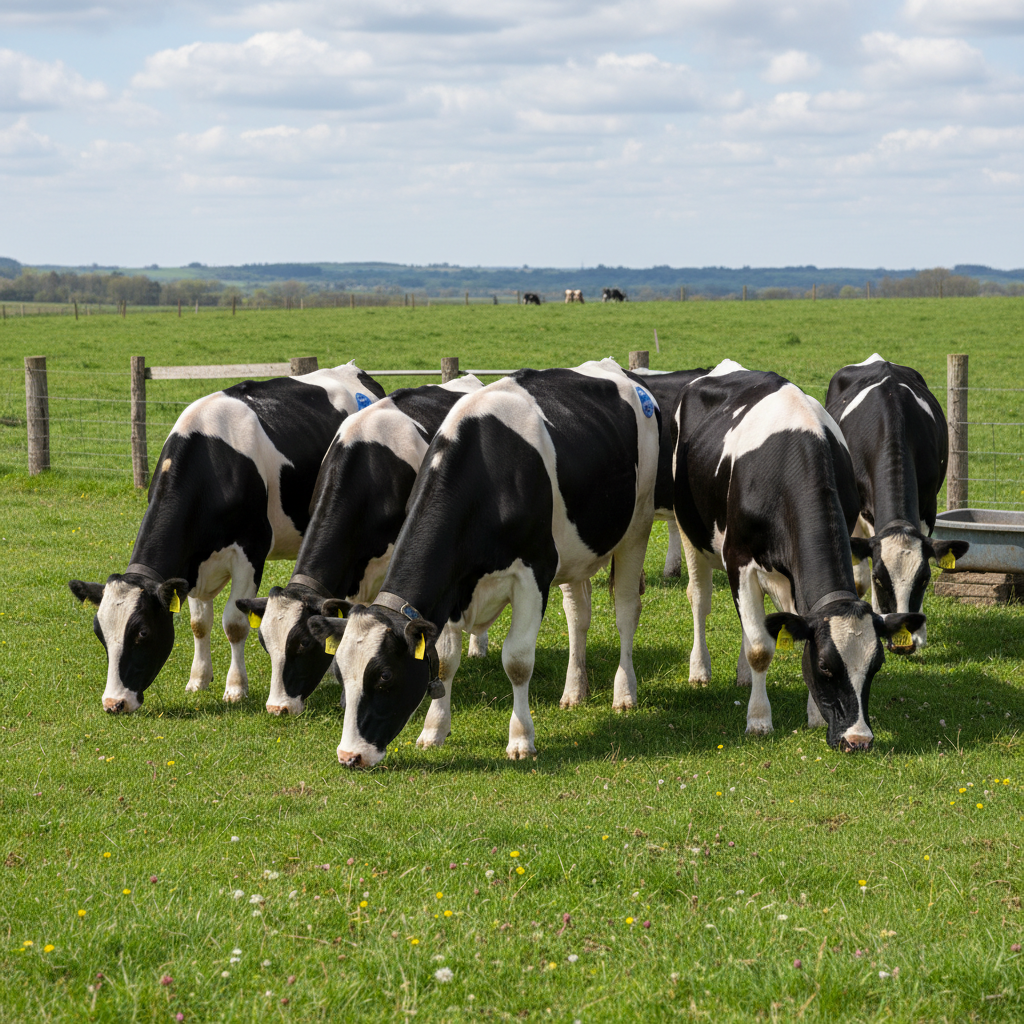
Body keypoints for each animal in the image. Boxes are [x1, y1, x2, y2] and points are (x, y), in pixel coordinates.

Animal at [68, 364, 385, 714]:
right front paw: (198, 681)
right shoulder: (192, 563)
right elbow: (199, 623)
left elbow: (234, 624)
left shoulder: (250, 554)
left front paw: (235, 689)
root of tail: (353, 369)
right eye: (99, 634)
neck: (211, 464)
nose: (114, 703)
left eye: (142, 632)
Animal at [307, 359, 661, 767]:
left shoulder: (533, 572)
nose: (350, 755)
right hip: (576, 550)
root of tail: (613, 368)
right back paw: (575, 691)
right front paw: (434, 731)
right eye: (339, 673)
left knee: (626, 611)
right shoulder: (451, 585)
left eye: (383, 676)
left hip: (638, 523)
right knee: (578, 616)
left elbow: (518, 661)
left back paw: (624, 694)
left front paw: (521, 740)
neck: (488, 472)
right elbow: (444, 660)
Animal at [672, 360, 924, 751]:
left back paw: (743, 677)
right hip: (690, 532)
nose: (858, 739)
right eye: (825, 667)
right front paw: (759, 720)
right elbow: (760, 649)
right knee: (700, 598)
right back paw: (700, 670)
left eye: (876, 666)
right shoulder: (739, 560)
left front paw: (815, 717)